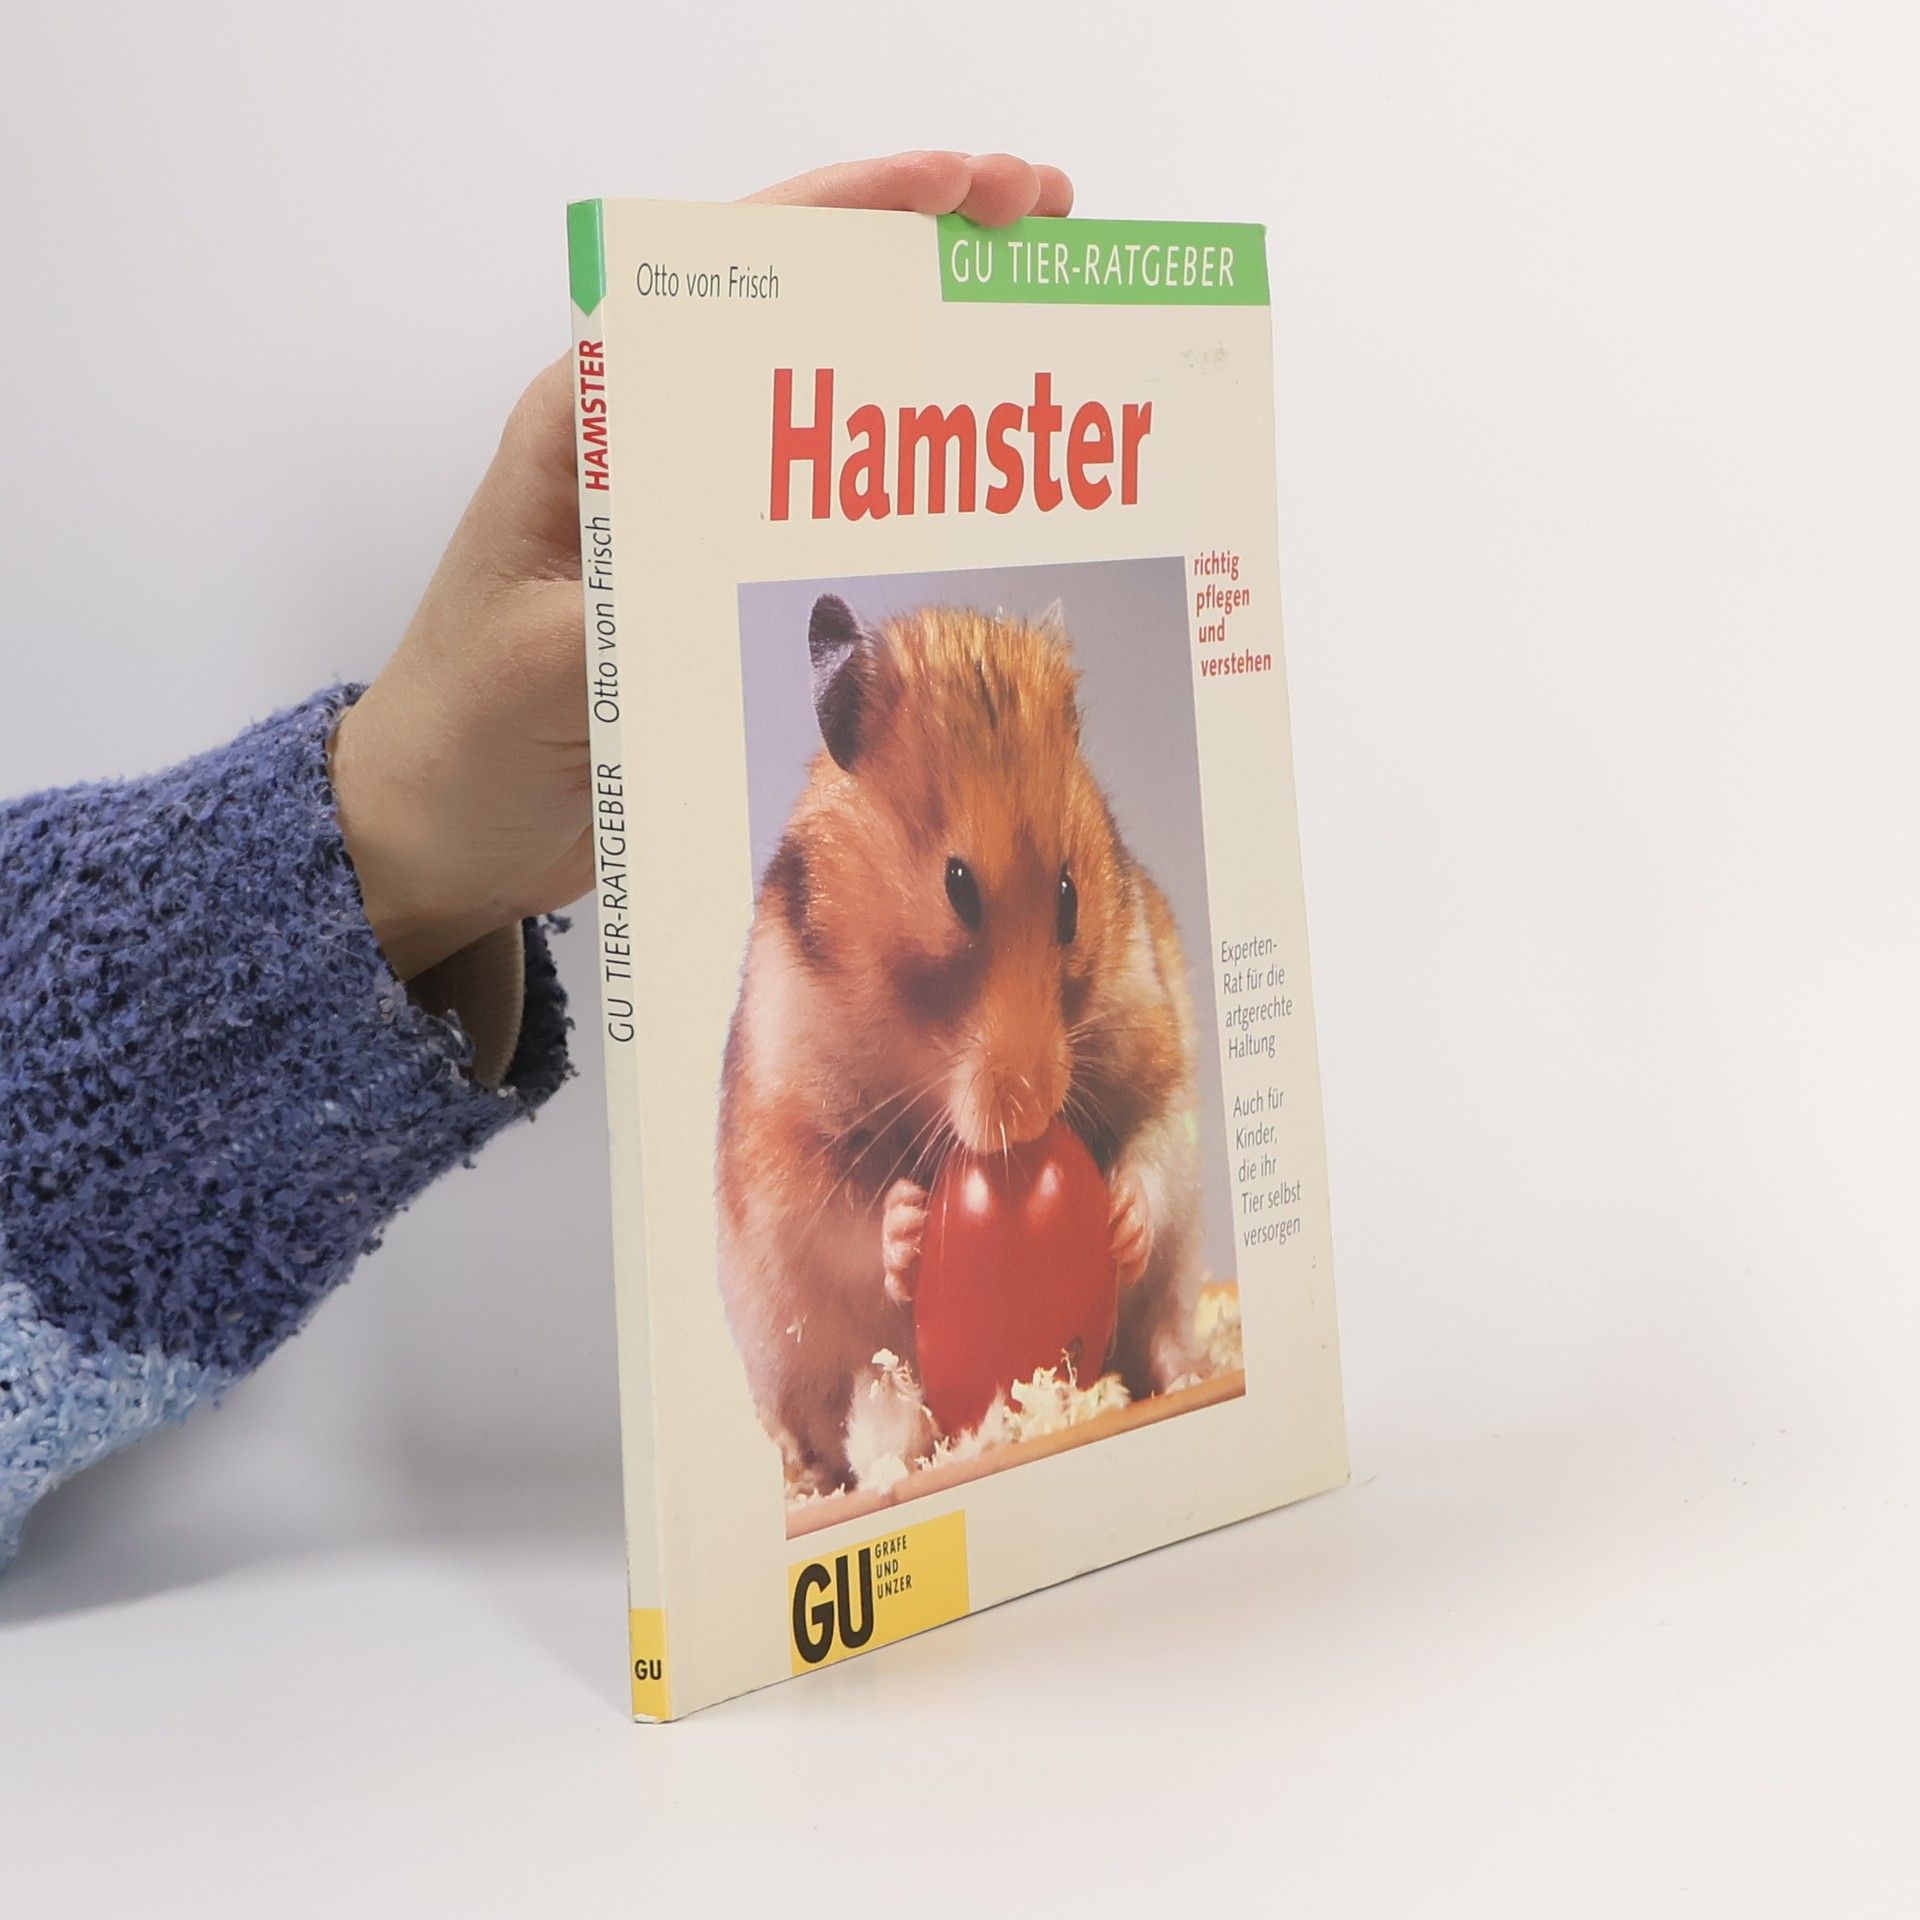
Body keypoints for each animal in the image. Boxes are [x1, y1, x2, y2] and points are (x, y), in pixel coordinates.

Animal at [717, 593, 1207, 1494]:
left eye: (1069, 897)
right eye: (956, 888)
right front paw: (910, 1226)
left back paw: (1184, 1373)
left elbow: (1154, 1149)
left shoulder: (1155, 1041)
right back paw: (816, 1483)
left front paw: (1115, 1217)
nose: (1032, 1118)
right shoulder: (787, 1141)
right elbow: (844, 1214)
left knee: (1161, 1330)